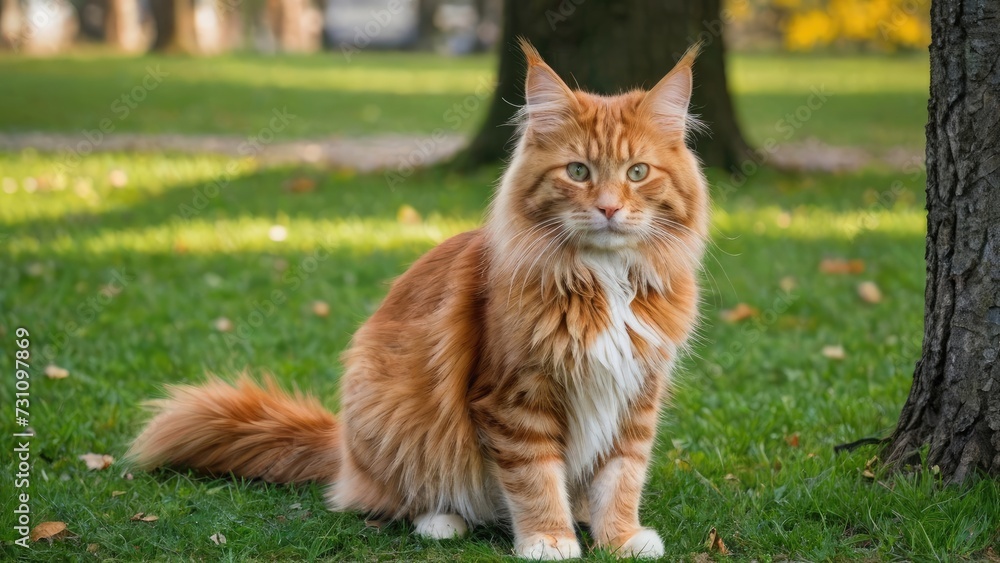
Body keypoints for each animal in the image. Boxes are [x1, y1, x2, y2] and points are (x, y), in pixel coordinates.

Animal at [131, 40, 712, 560]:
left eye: (637, 172)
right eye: (578, 172)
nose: (610, 208)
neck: (606, 280)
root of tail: (343, 449)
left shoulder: (636, 393)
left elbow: (621, 476)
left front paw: (620, 536)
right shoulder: (514, 398)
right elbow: (535, 479)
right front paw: (549, 539)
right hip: (393, 414)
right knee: (389, 500)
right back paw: (442, 522)